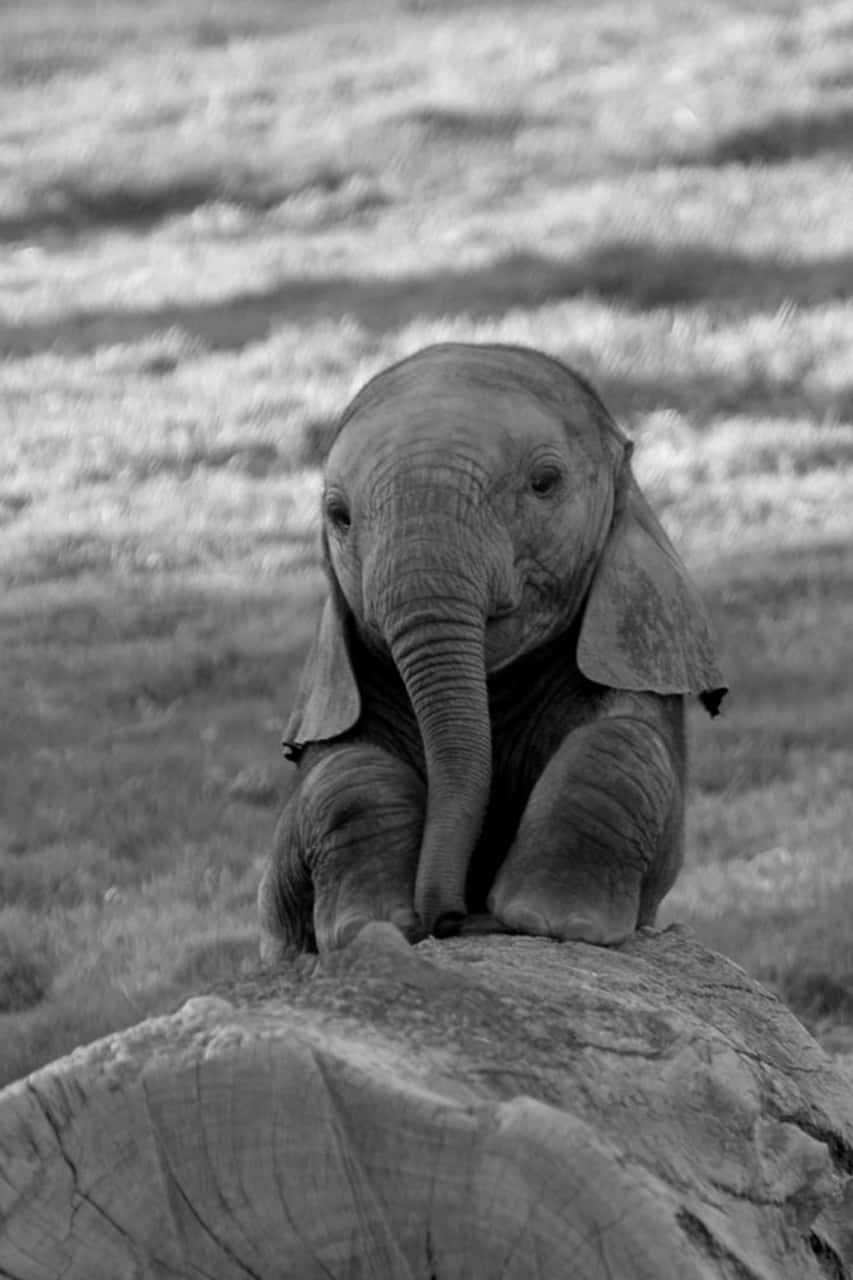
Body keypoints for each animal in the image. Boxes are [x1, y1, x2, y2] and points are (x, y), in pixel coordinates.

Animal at [259, 342, 726, 959]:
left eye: (544, 482)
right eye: (339, 516)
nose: (452, 918)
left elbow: (622, 745)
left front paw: (550, 921)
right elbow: (341, 774)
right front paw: (368, 929)